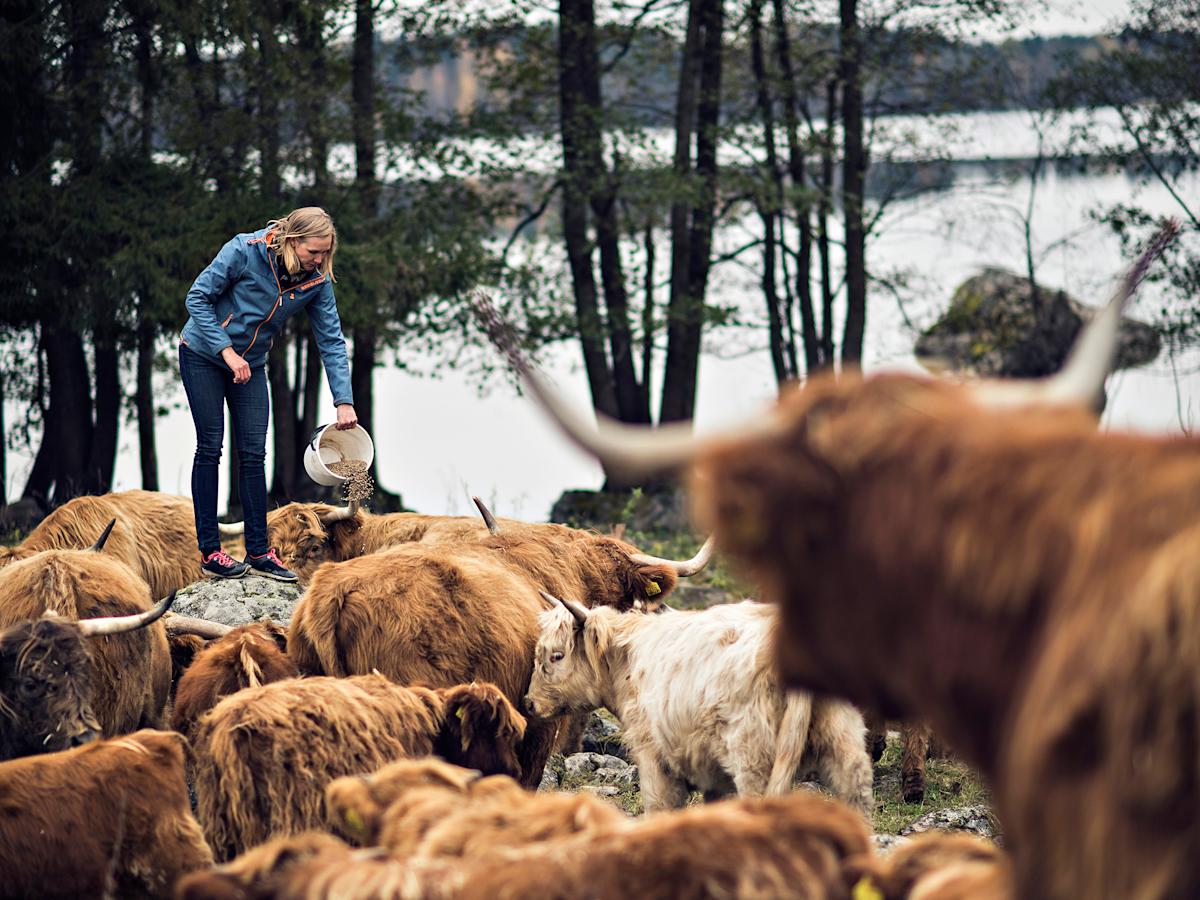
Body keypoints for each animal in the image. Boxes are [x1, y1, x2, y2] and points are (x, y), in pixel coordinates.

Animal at [530, 595, 868, 816]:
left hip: (754, 759)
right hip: (843, 743)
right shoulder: (714, 775)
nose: (529, 703)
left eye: (557, 655)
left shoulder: (654, 757)